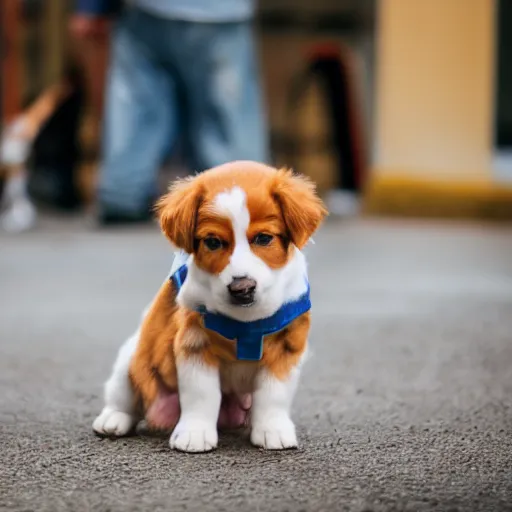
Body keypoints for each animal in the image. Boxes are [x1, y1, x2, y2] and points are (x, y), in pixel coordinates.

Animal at [92, 161, 326, 452]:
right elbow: (201, 394)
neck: (245, 323)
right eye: (213, 242)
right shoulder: (194, 343)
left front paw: (273, 429)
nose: (242, 288)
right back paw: (113, 419)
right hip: (132, 356)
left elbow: (273, 394)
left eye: (263, 238)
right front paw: (195, 432)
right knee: (124, 394)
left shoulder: (288, 346)